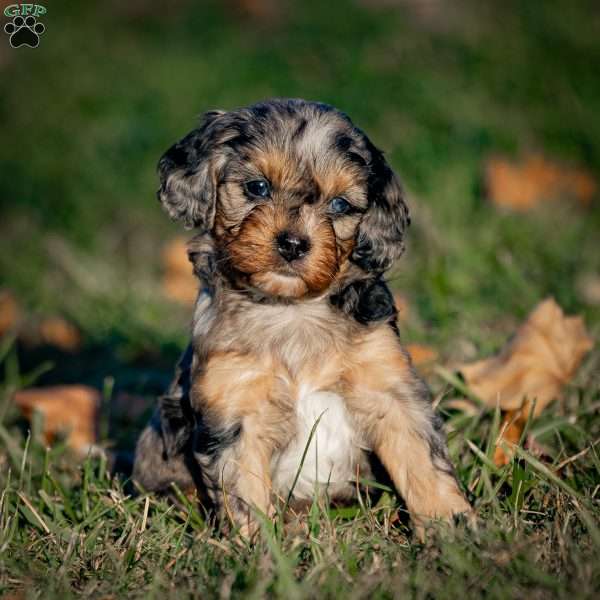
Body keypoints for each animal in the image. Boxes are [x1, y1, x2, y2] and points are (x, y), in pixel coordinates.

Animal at [134, 99, 472, 540]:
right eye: (257, 187)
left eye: (340, 205)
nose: (293, 243)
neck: (292, 311)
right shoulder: (235, 409)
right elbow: (245, 494)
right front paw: (259, 548)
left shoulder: (389, 387)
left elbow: (423, 463)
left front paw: (454, 527)